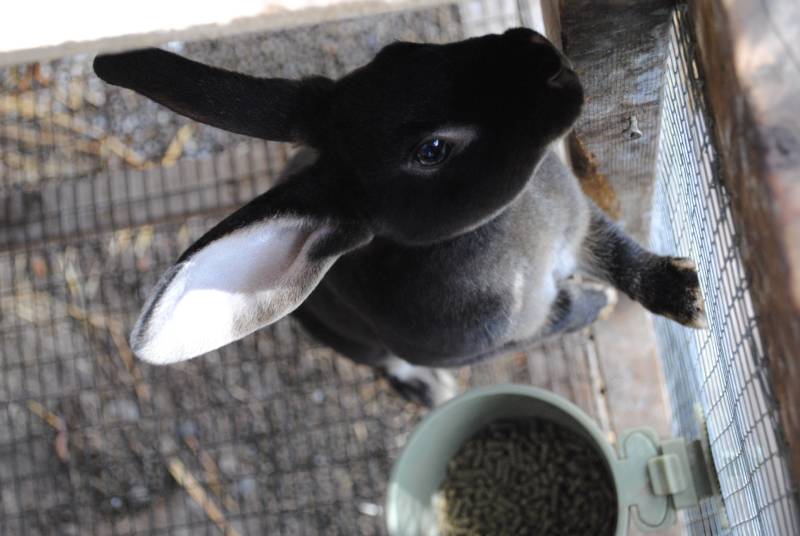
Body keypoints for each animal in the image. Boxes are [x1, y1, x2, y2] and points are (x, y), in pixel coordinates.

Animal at [93, 28, 706, 407]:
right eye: (432, 150)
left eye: (400, 50)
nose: (543, 57)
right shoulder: (487, 339)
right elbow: (561, 317)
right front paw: (596, 304)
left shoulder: (581, 226)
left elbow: (624, 256)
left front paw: (688, 296)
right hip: (343, 336)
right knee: (383, 363)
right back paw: (430, 392)